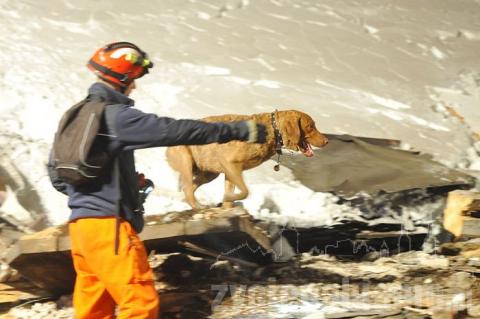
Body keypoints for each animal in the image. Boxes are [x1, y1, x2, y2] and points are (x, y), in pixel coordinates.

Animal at [167, 110, 328, 210]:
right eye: (311, 126)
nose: (327, 141)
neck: (272, 131)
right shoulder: (230, 164)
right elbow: (245, 191)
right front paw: (229, 199)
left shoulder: (229, 171)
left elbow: (232, 192)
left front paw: (227, 204)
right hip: (187, 160)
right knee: (187, 187)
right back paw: (197, 206)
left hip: (209, 173)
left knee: (189, 187)